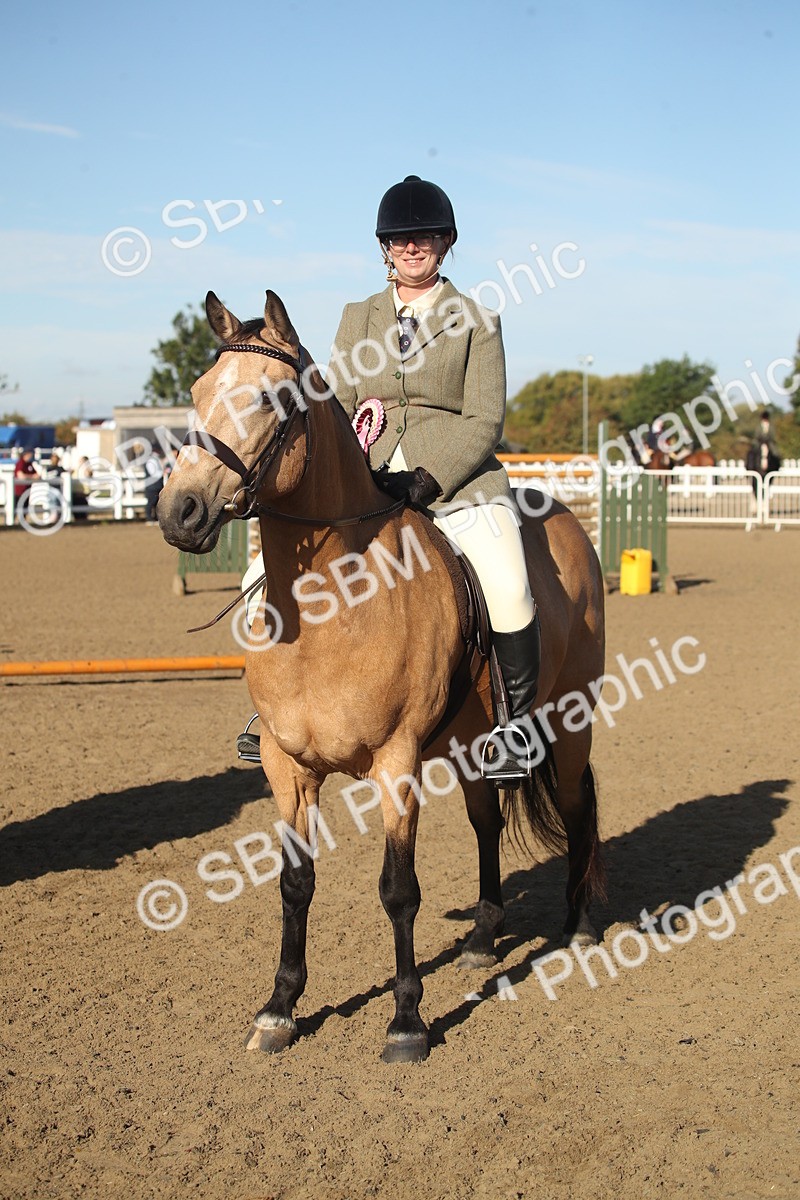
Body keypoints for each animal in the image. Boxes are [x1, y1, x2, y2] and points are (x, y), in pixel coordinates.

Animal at [158, 289, 606, 1064]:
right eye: (196, 391)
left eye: (273, 398)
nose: (179, 512)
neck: (328, 605)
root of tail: (568, 521)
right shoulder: (287, 767)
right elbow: (295, 883)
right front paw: (280, 1008)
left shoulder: (396, 764)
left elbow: (399, 889)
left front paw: (406, 1023)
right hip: (469, 741)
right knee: (486, 819)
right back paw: (483, 938)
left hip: (571, 718)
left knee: (577, 805)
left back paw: (577, 929)